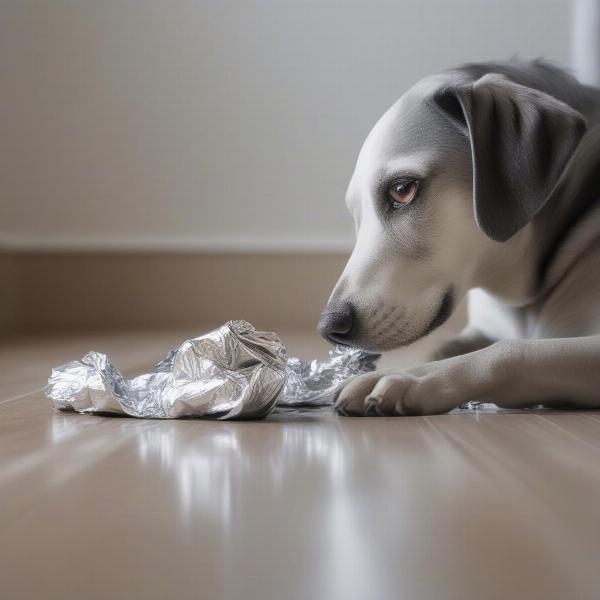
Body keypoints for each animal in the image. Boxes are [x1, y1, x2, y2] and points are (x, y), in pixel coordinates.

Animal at [322, 61, 600, 418]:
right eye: (356, 215)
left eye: (402, 189)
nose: (329, 327)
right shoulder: (477, 331)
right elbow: (442, 349)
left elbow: (509, 351)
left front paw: (408, 377)